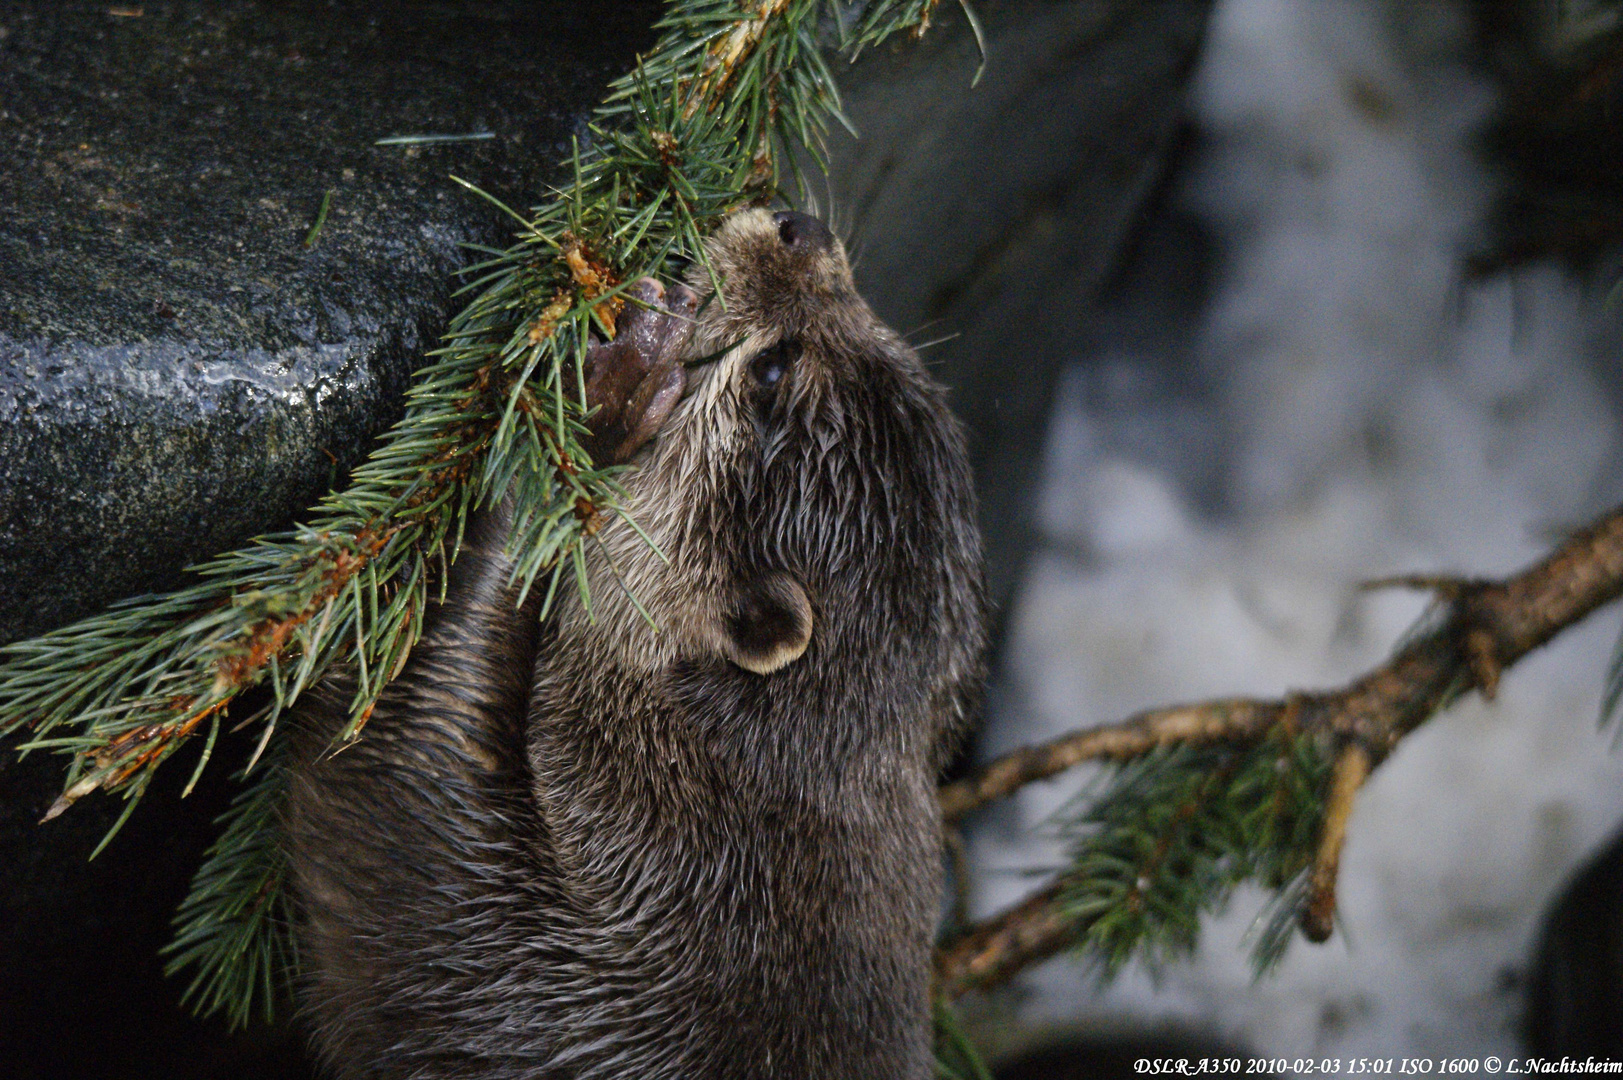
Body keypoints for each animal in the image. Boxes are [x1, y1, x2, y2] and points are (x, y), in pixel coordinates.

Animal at [284, 211, 980, 1078]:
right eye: (881, 332)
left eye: (772, 370)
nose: (802, 228)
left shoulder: (513, 962)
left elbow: (393, 767)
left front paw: (606, 400)